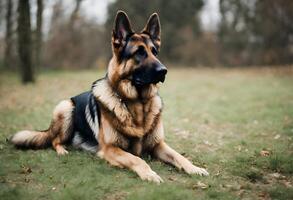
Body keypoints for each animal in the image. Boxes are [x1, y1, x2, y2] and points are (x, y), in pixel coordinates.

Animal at [10, 10, 208, 183]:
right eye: (139, 52)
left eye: (154, 52)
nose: (164, 71)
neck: (138, 104)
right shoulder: (111, 149)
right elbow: (137, 159)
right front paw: (150, 174)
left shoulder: (158, 145)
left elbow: (179, 156)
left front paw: (195, 168)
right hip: (66, 108)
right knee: (54, 140)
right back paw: (63, 150)